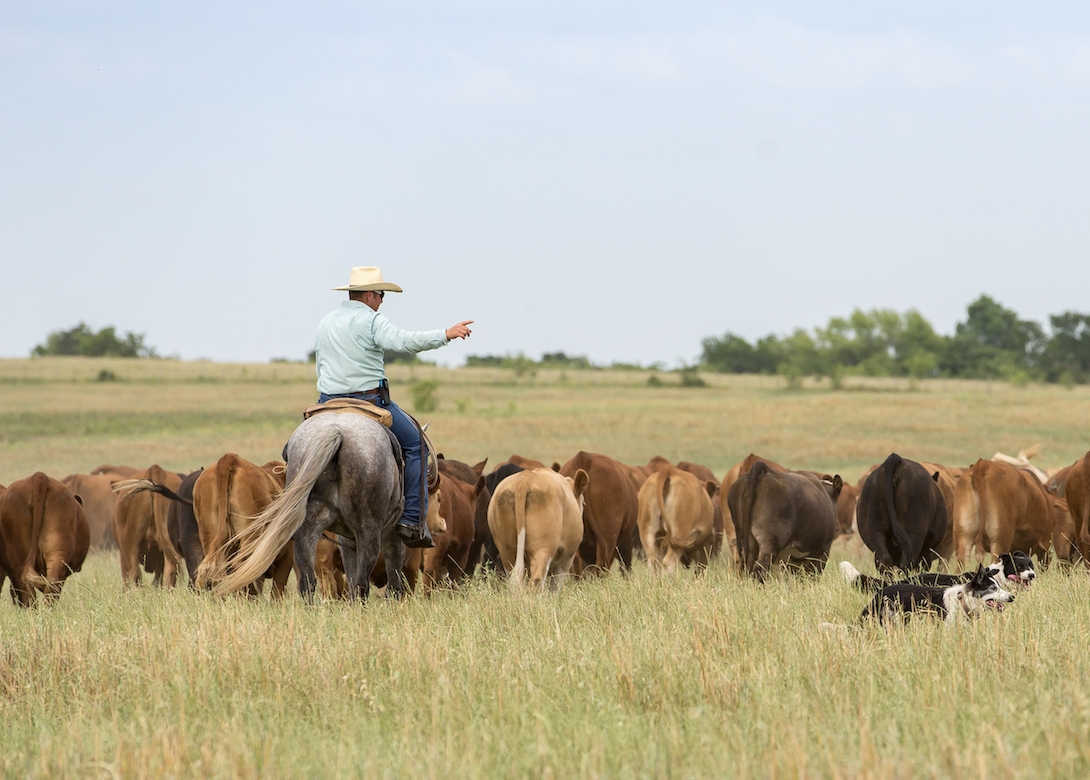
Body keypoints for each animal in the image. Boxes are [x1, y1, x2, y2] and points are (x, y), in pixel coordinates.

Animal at [219, 413, 407, 601]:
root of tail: (336, 430)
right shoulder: (388, 535)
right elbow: (392, 570)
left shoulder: (348, 540)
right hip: (368, 530)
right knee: (362, 584)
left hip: (308, 527)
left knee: (307, 579)